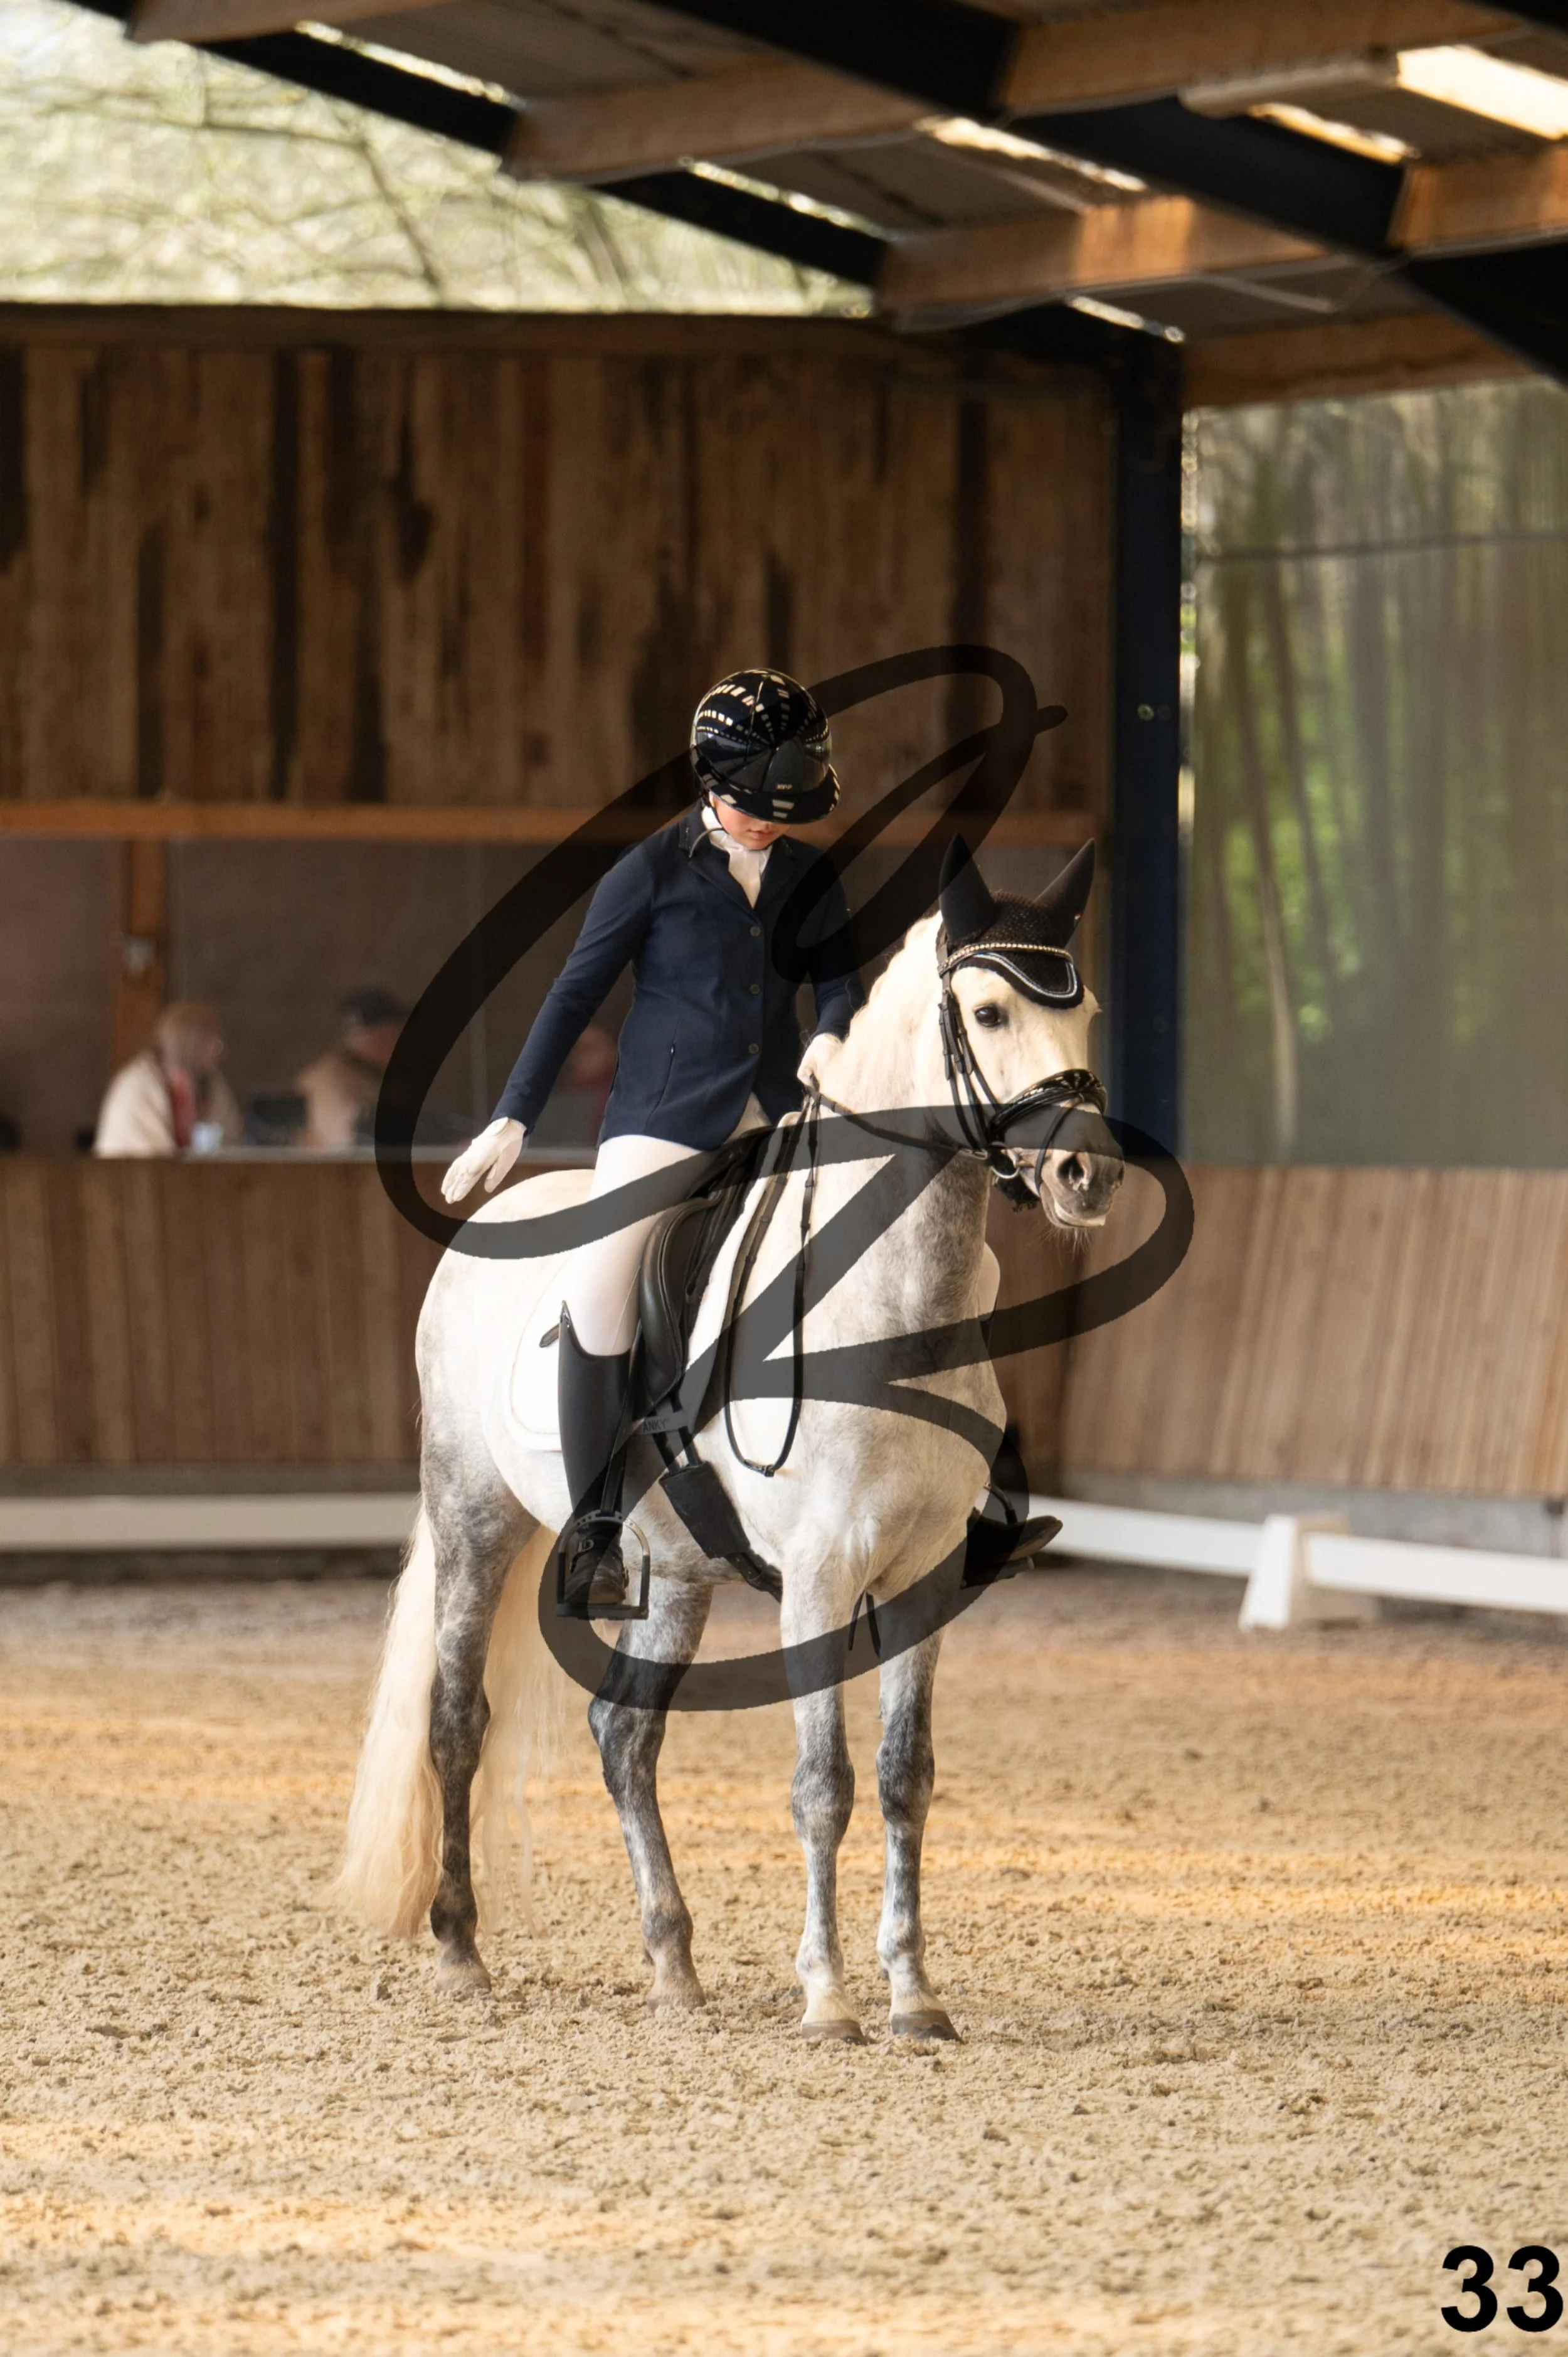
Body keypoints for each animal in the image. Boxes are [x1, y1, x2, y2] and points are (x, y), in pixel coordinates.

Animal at [334, 843, 1123, 2042]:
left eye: (1086, 1016)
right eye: (988, 1013)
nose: (1089, 1175)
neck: (888, 1298)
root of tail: (490, 1227)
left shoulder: (927, 1577)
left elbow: (905, 1776)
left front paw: (914, 1995)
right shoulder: (819, 1578)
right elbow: (822, 1784)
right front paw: (829, 1998)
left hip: (674, 1571)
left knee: (624, 1736)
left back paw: (673, 1962)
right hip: (475, 1516)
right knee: (457, 1718)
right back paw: (463, 1949)